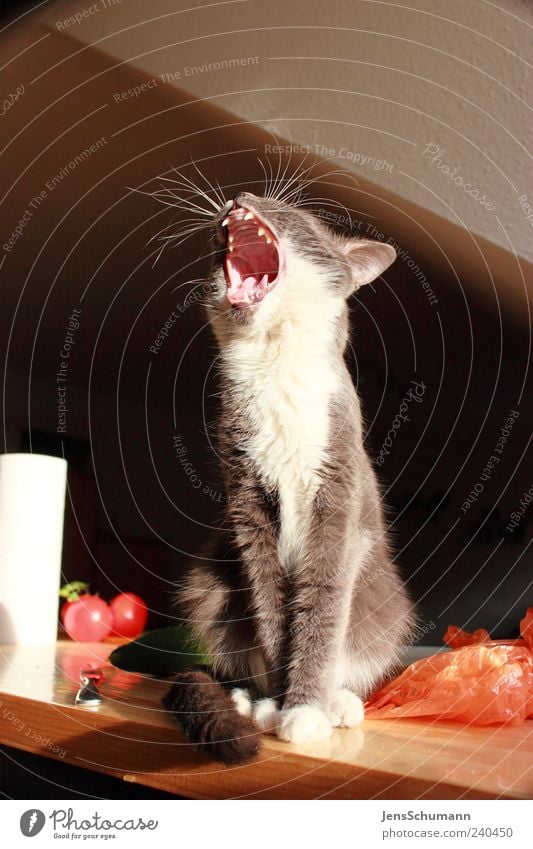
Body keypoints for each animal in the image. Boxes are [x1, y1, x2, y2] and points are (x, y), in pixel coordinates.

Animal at [164, 189, 414, 764]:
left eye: (287, 212)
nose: (239, 196)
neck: (273, 360)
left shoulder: (337, 489)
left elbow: (321, 604)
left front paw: (304, 712)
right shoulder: (246, 497)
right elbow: (271, 606)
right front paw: (279, 704)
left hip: (383, 604)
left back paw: (338, 703)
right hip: (210, 585)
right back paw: (247, 700)